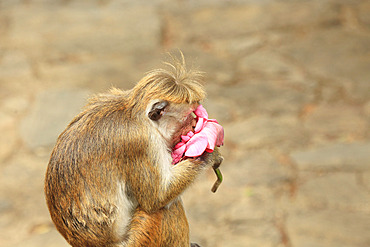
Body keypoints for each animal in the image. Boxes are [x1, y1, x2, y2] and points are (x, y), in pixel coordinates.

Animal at [43, 58, 223, 247]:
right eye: (189, 117)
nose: (194, 125)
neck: (138, 116)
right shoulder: (142, 143)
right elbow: (157, 198)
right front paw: (208, 155)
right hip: (141, 239)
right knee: (163, 209)